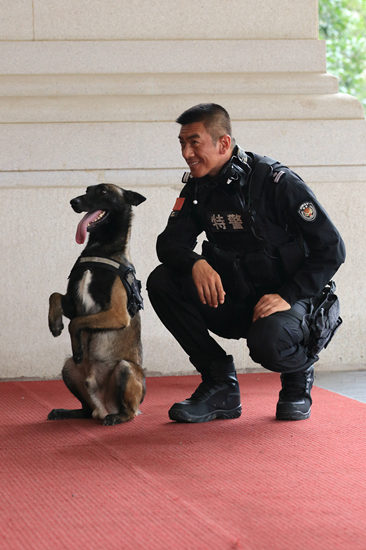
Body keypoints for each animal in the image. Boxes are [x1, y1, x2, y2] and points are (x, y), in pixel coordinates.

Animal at [48, 185, 147, 426]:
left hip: (125, 369)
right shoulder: (73, 303)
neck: (99, 249)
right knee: (85, 410)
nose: (74, 202)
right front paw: (54, 324)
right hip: (68, 368)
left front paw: (76, 346)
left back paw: (117, 417)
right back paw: (66, 412)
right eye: (87, 190)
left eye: (103, 192)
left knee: (131, 412)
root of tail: (102, 408)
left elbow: (76, 323)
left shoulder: (118, 314)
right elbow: (55, 296)